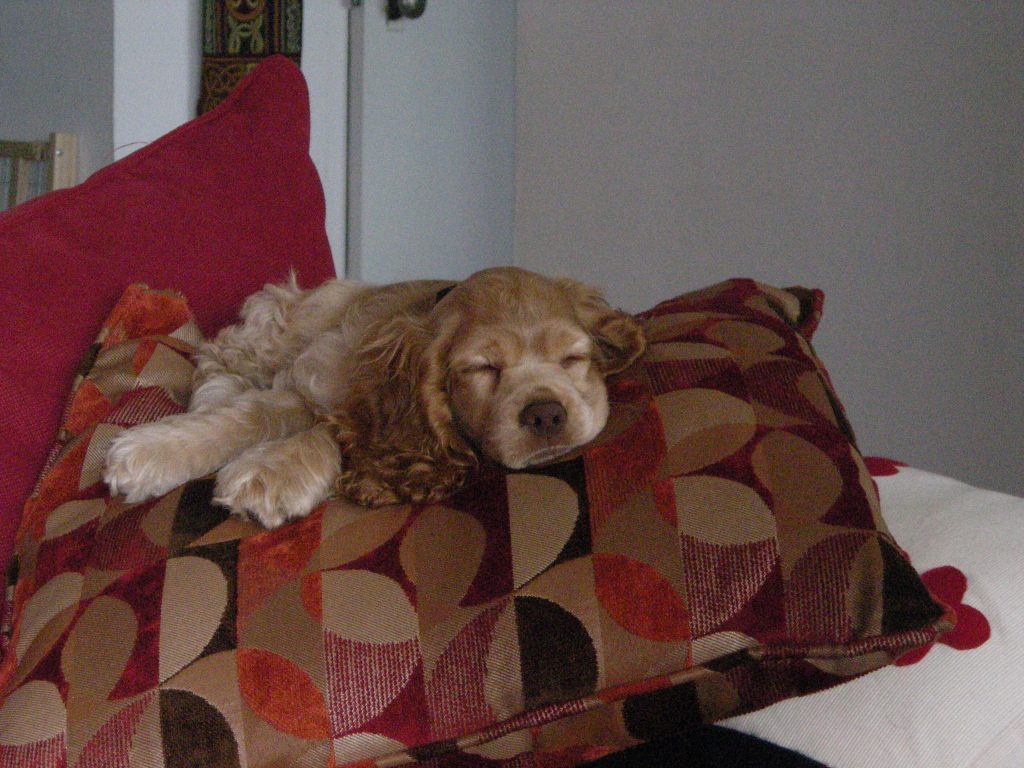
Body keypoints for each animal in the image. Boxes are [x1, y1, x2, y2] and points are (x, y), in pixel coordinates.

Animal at [105, 266, 647, 528]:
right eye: (483, 368)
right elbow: (255, 412)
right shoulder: (311, 378)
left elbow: (324, 428)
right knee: (225, 355)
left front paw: (271, 473)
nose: (546, 415)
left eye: (573, 358)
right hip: (290, 315)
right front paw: (150, 451)